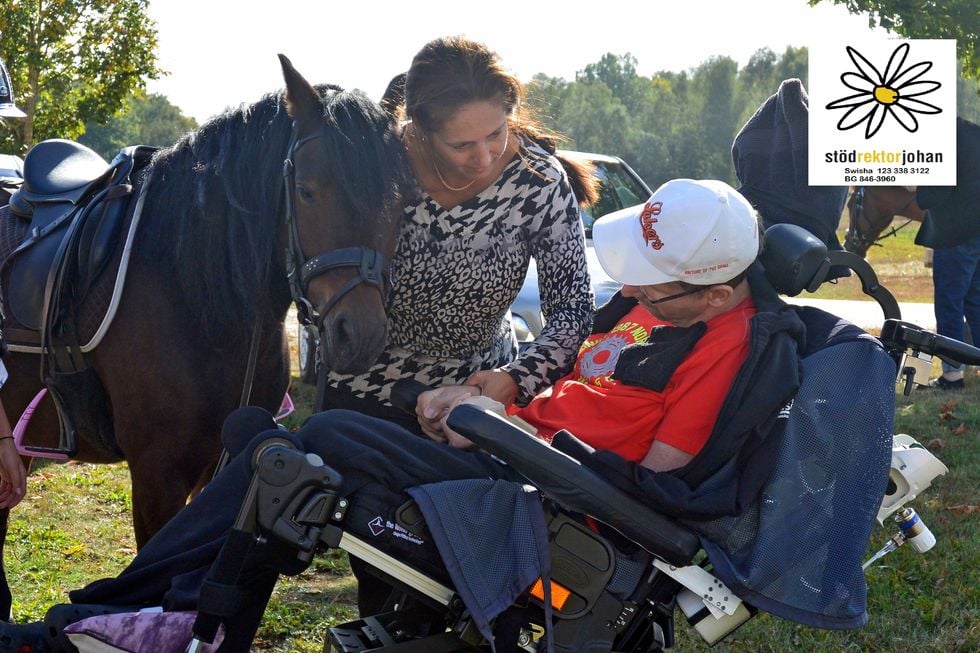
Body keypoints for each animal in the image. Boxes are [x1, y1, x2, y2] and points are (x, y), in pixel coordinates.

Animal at [0, 56, 416, 612]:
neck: (192, 295)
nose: (360, 335)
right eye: (307, 189)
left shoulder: (232, 466)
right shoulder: (158, 472)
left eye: (403, 199)